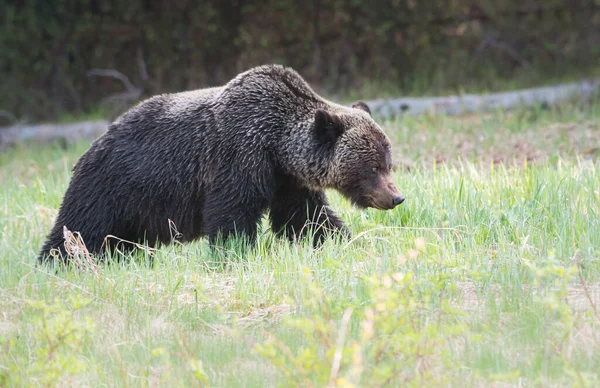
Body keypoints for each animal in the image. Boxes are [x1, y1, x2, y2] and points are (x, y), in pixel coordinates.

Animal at [36, 64, 404, 264]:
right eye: (373, 167)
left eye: (388, 162)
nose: (396, 197)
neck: (276, 144)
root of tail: (94, 143)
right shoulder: (241, 157)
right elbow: (232, 214)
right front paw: (236, 253)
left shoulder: (286, 180)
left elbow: (306, 218)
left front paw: (341, 241)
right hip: (111, 188)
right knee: (79, 230)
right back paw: (55, 263)